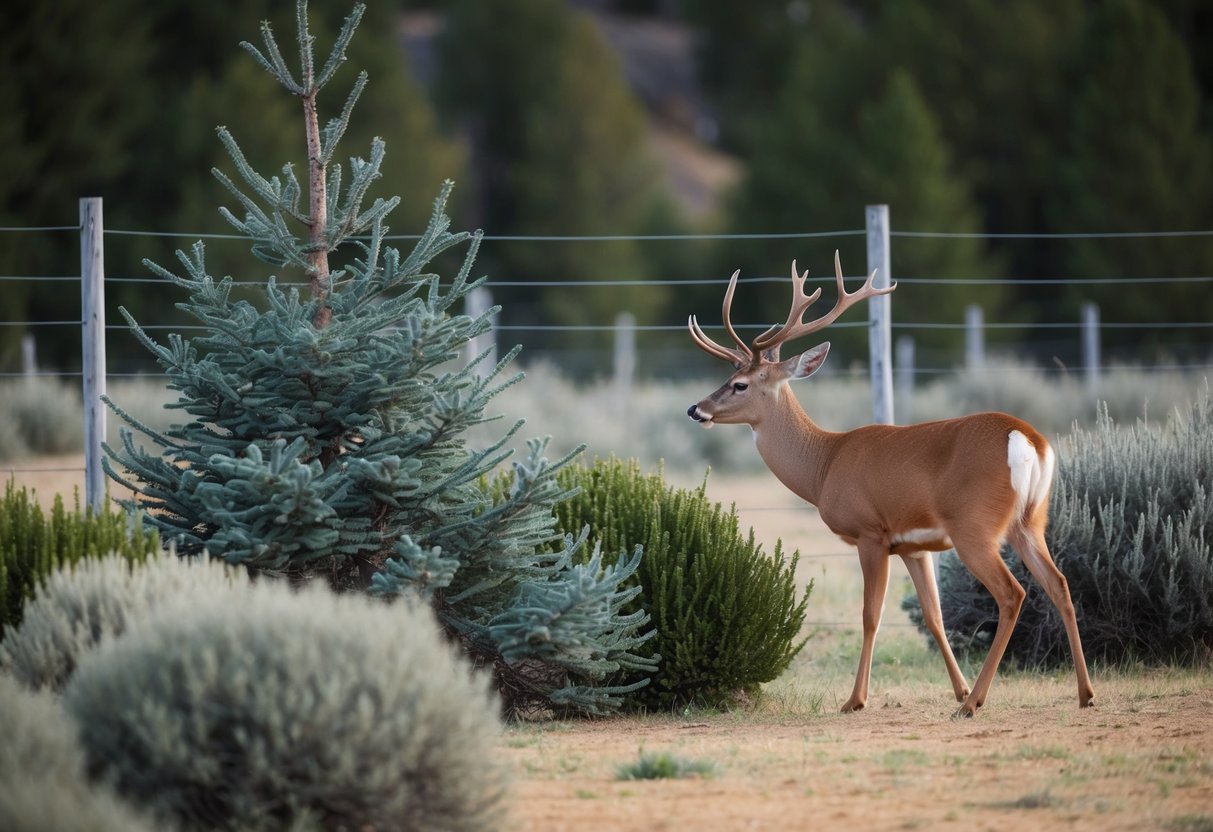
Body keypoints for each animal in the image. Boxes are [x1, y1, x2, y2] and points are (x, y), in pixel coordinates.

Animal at [688, 254, 1096, 717]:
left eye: (740, 384)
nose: (695, 409)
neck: (824, 465)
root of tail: (1028, 440)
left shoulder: (871, 533)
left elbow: (871, 615)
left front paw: (856, 699)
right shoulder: (914, 546)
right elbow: (934, 615)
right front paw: (956, 688)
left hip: (975, 526)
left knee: (1012, 593)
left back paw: (975, 703)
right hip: (1029, 521)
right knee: (1059, 585)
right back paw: (1083, 694)